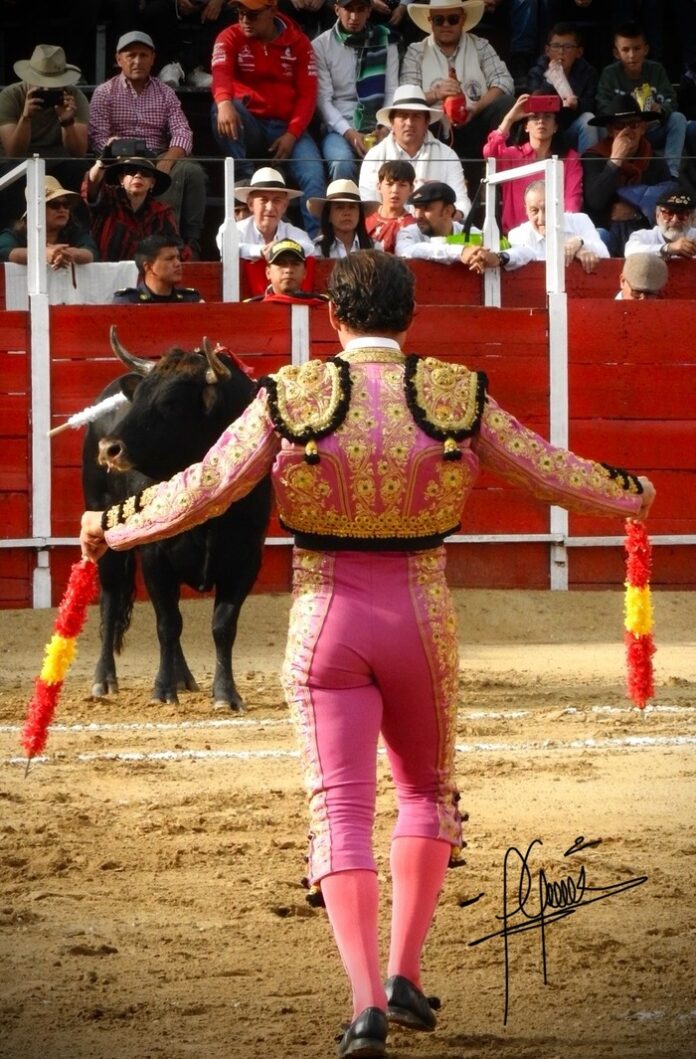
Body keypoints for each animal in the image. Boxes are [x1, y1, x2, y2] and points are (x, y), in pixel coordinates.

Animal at [82, 327, 272, 711]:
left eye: (170, 403)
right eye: (140, 396)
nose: (109, 449)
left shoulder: (247, 559)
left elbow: (222, 625)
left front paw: (226, 695)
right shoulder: (155, 555)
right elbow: (168, 623)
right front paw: (162, 689)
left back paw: (184, 677)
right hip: (107, 545)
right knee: (111, 604)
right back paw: (104, 680)